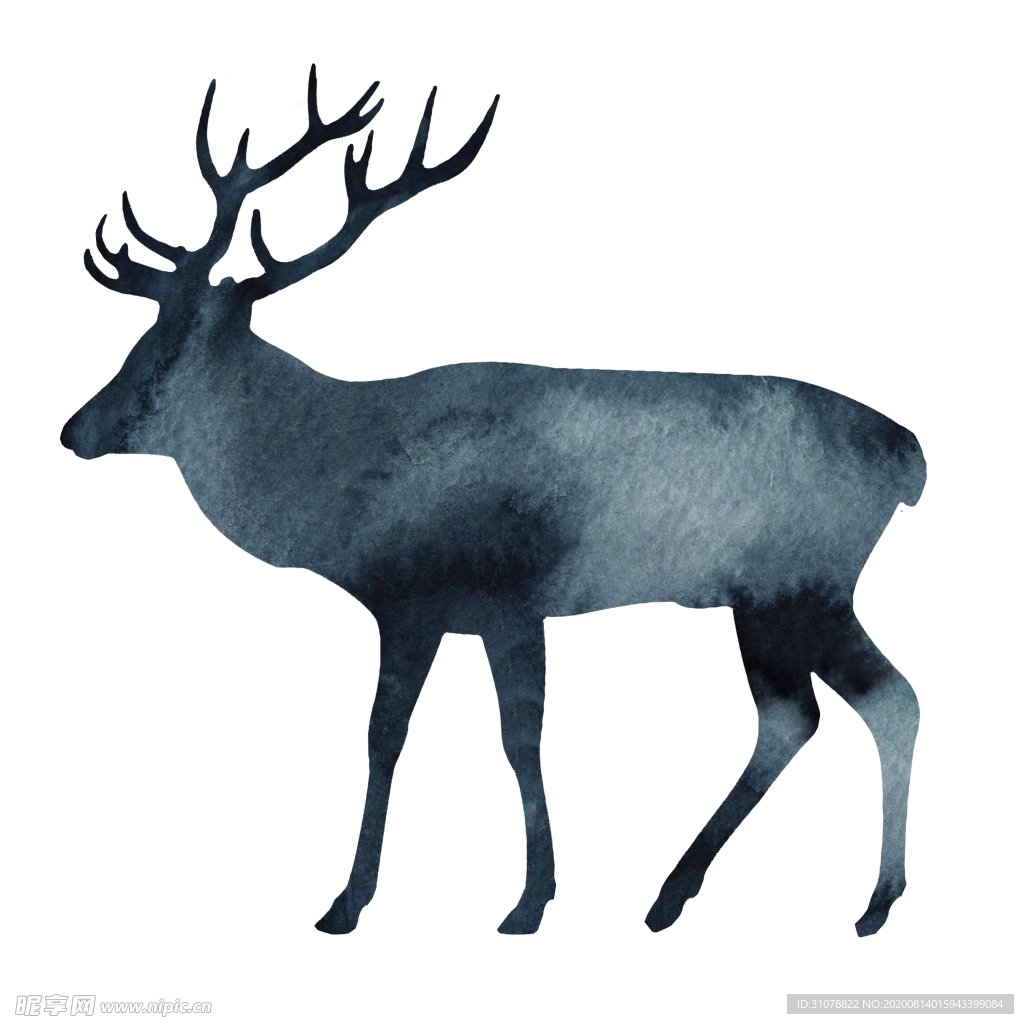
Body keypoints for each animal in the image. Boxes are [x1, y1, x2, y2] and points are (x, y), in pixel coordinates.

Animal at [61, 65, 925, 938]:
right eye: (136, 337)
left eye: (155, 351)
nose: (74, 428)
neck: (344, 481)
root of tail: (910, 461)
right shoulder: (491, 608)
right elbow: (515, 732)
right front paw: (531, 895)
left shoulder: (435, 593)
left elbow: (405, 734)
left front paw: (364, 903)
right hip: (771, 595)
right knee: (803, 715)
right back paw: (672, 896)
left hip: (804, 580)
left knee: (879, 701)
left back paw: (870, 904)